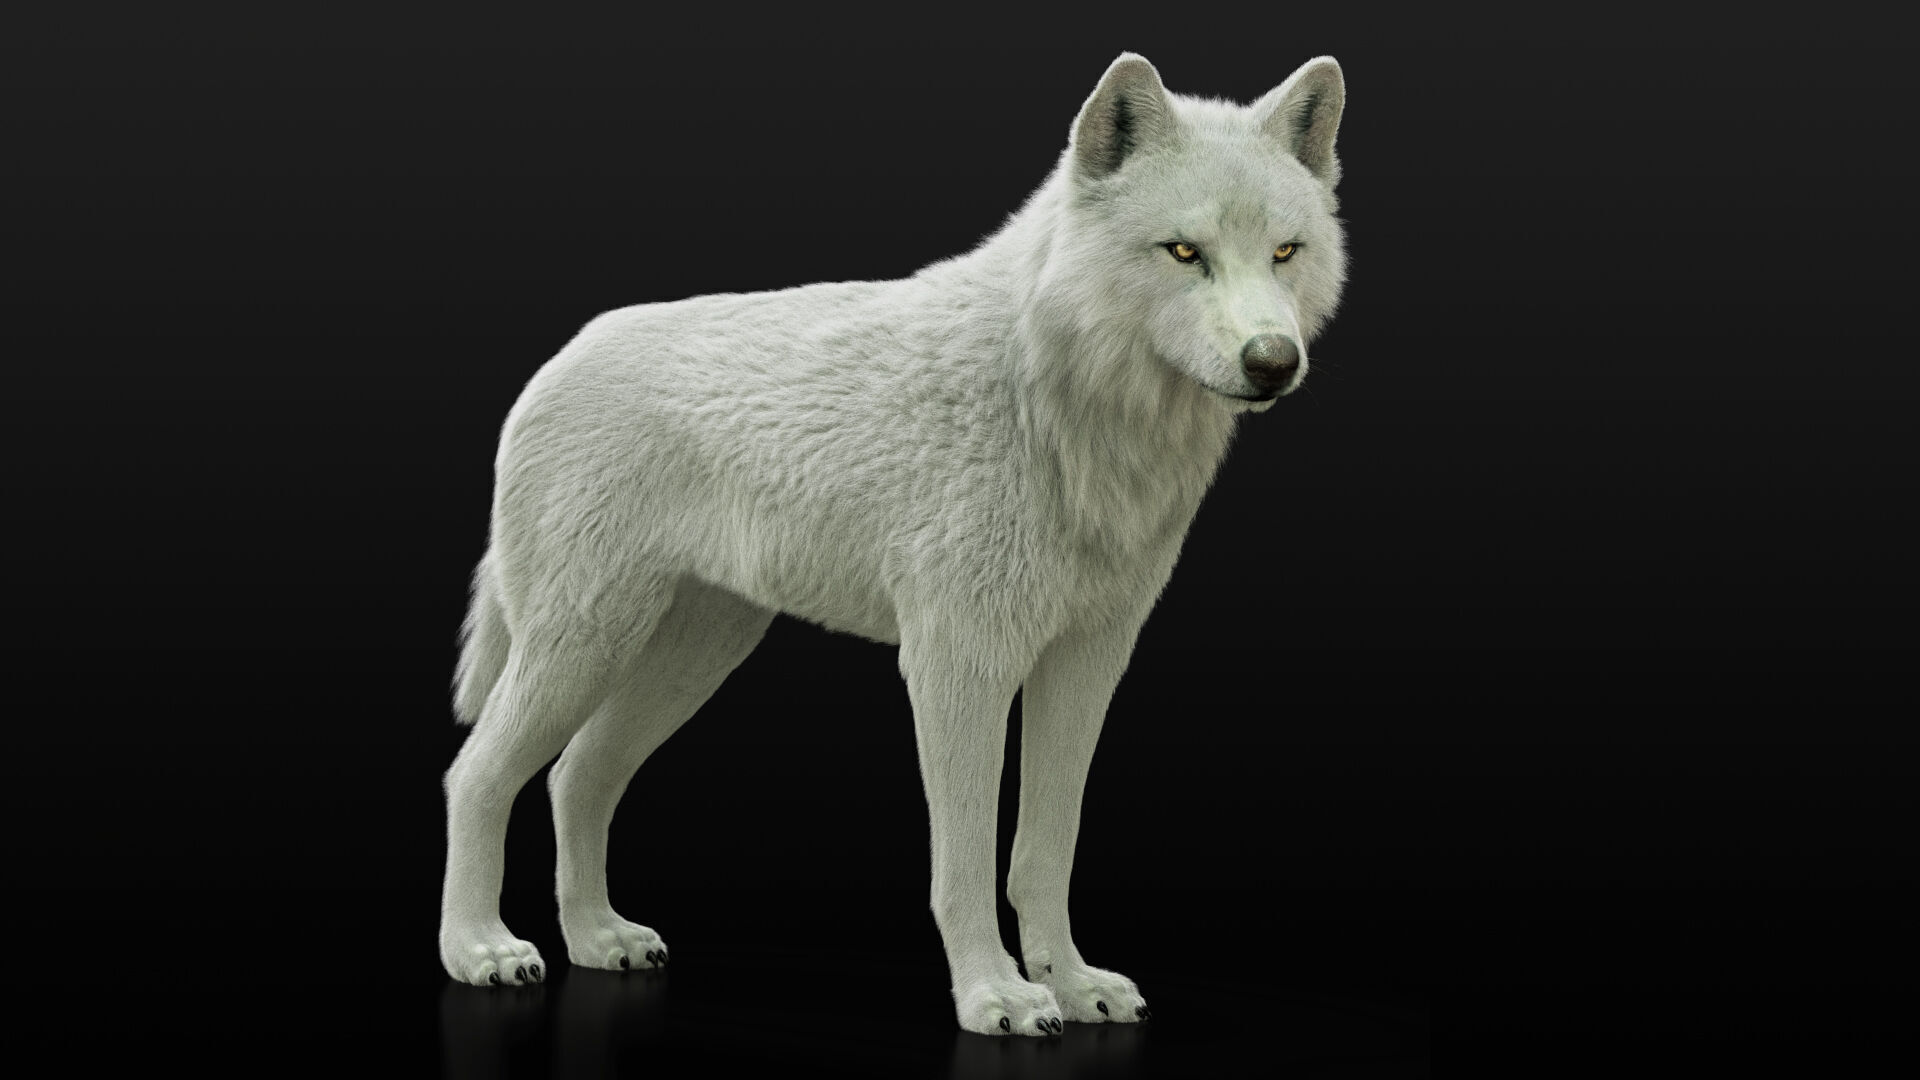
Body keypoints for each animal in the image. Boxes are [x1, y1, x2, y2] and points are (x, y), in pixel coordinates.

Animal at [439, 52, 1348, 1036]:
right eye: (1185, 252)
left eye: (1286, 252)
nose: (1274, 362)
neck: (1061, 407)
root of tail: (556, 361)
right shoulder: (959, 665)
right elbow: (966, 861)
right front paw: (995, 994)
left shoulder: (1086, 664)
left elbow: (1045, 850)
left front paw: (1071, 983)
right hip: (584, 644)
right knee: (477, 776)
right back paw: (480, 950)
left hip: (690, 657)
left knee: (577, 778)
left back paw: (599, 939)